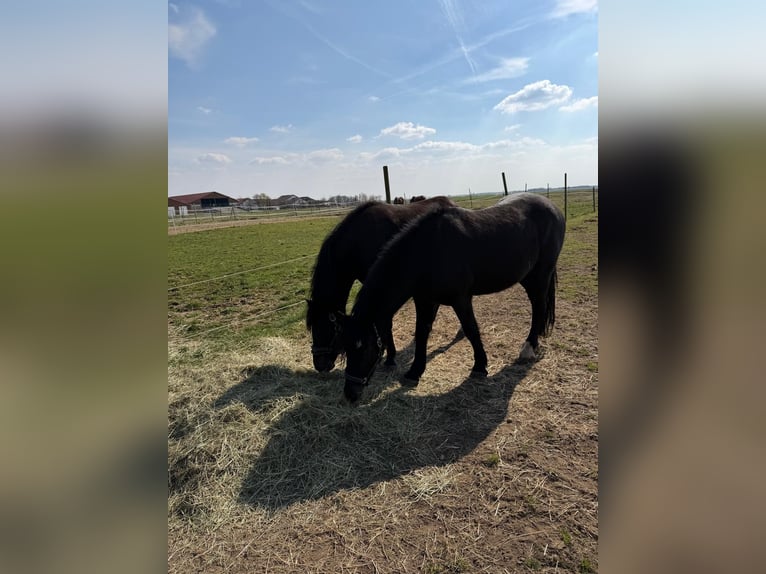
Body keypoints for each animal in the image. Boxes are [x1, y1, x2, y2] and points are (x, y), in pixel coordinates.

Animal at [339, 193, 565, 402]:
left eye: (366, 348)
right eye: (346, 348)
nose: (350, 394)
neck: (429, 251)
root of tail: (552, 207)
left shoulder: (461, 299)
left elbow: (471, 329)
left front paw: (480, 367)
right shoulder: (425, 300)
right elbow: (421, 332)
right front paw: (414, 372)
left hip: (541, 274)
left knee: (538, 306)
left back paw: (529, 347)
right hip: (527, 276)